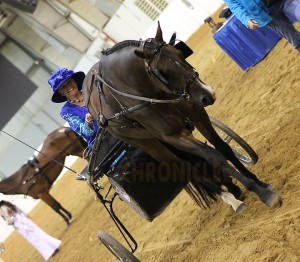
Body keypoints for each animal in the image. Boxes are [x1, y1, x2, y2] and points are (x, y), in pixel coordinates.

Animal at [82, 22, 282, 209]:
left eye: (180, 53)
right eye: (163, 71)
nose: (208, 94)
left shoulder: (196, 111)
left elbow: (222, 147)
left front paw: (258, 182)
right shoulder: (173, 135)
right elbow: (215, 158)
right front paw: (263, 194)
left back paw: (232, 189)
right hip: (148, 143)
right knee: (184, 166)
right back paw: (231, 198)